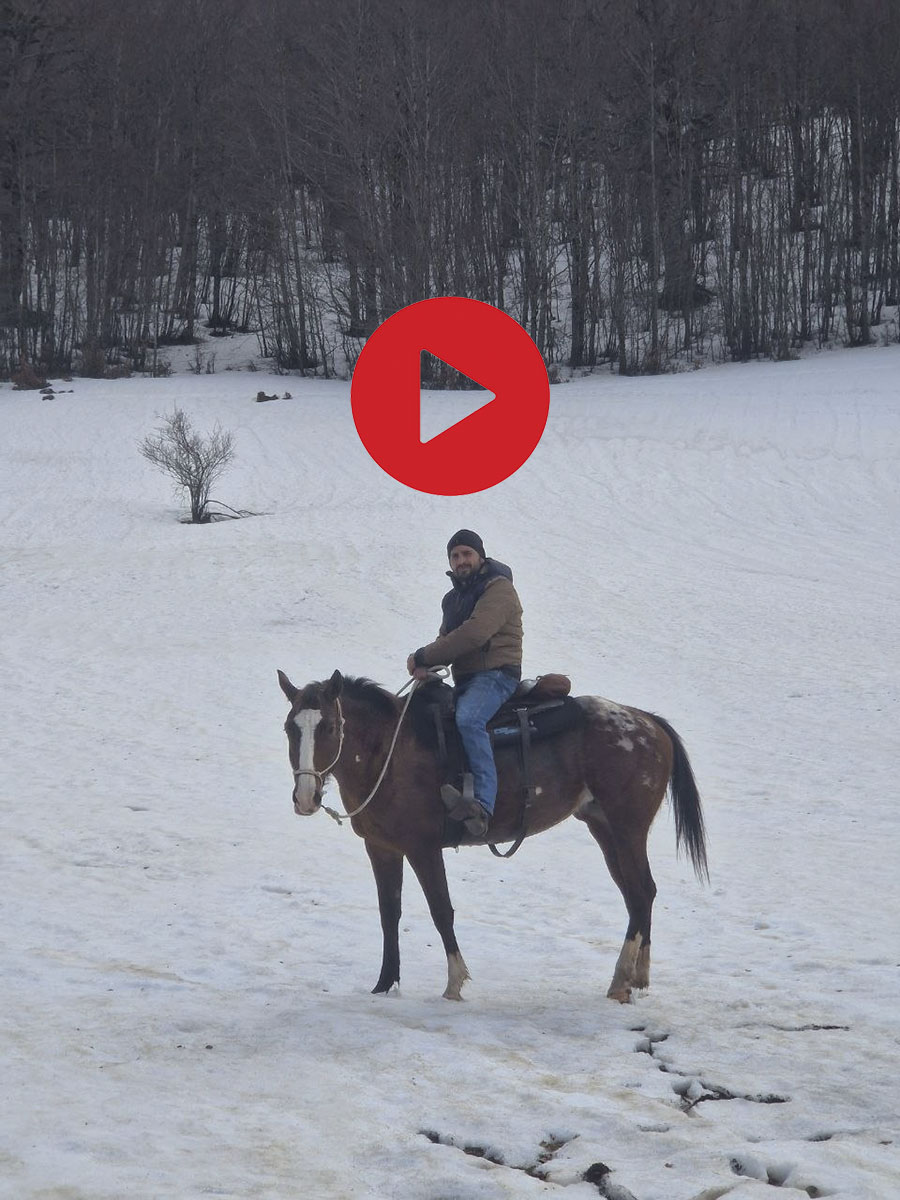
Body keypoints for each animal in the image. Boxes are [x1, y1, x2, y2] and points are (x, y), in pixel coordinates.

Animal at [277, 669, 708, 1003]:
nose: (306, 798)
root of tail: (648, 721)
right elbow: (389, 913)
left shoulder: (423, 848)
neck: (389, 753)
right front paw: (384, 985)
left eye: (329, 727)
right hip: (605, 827)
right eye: (289, 728)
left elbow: (441, 910)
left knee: (639, 891)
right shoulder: (381, 848)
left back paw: (620, 980)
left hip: (627, 827)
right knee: (640, 894)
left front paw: (454, 983)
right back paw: (637, 976)